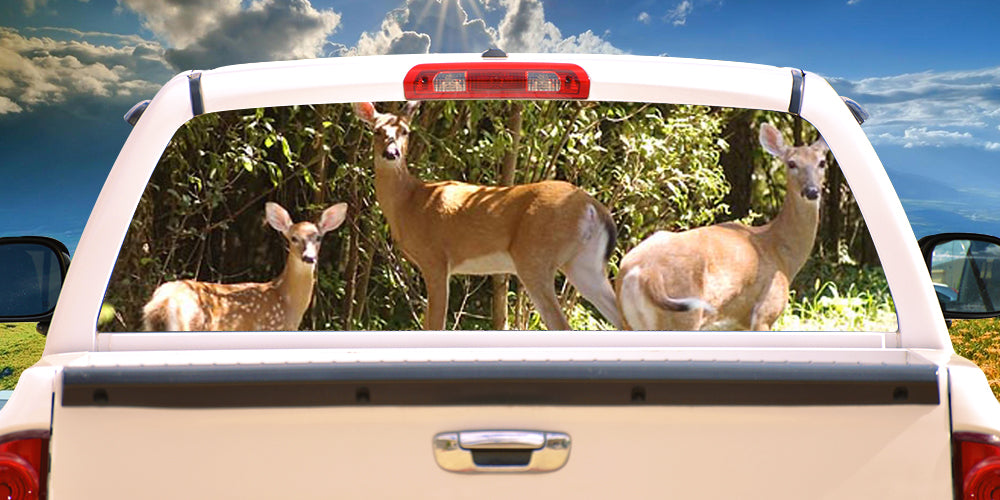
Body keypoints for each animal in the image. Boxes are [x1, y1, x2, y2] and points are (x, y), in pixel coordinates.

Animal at [141, 201, 347, 331]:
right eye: (293, 238)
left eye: (318, 238)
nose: (309, 257)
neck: (286, 301)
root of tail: (162, 304)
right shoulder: (270, 327)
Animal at [353, 101, 622, 331]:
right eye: (376, 131)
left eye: (405, 131)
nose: (391, 153)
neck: (408, 203)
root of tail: (592, 206)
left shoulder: (436, 258)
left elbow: (435, 324)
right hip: (584, 263)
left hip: (535, 256)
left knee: (562, 323)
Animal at [615, 122, 829, 331]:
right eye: (791, 163)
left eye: (822, 162)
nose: (812, 191)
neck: (780, 252)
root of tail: (643, 273)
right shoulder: (765, 312)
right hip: (684, 316)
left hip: (629, 323)